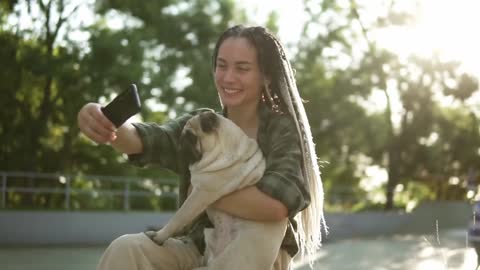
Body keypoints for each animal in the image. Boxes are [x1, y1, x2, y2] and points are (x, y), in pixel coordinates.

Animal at [145, 110, 288, 268]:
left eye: (191, 136)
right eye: (181, 134)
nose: (181, 141)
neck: (223, 150)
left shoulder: (199, 196)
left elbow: (179, 216)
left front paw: (159, 236)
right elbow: (186, 220)